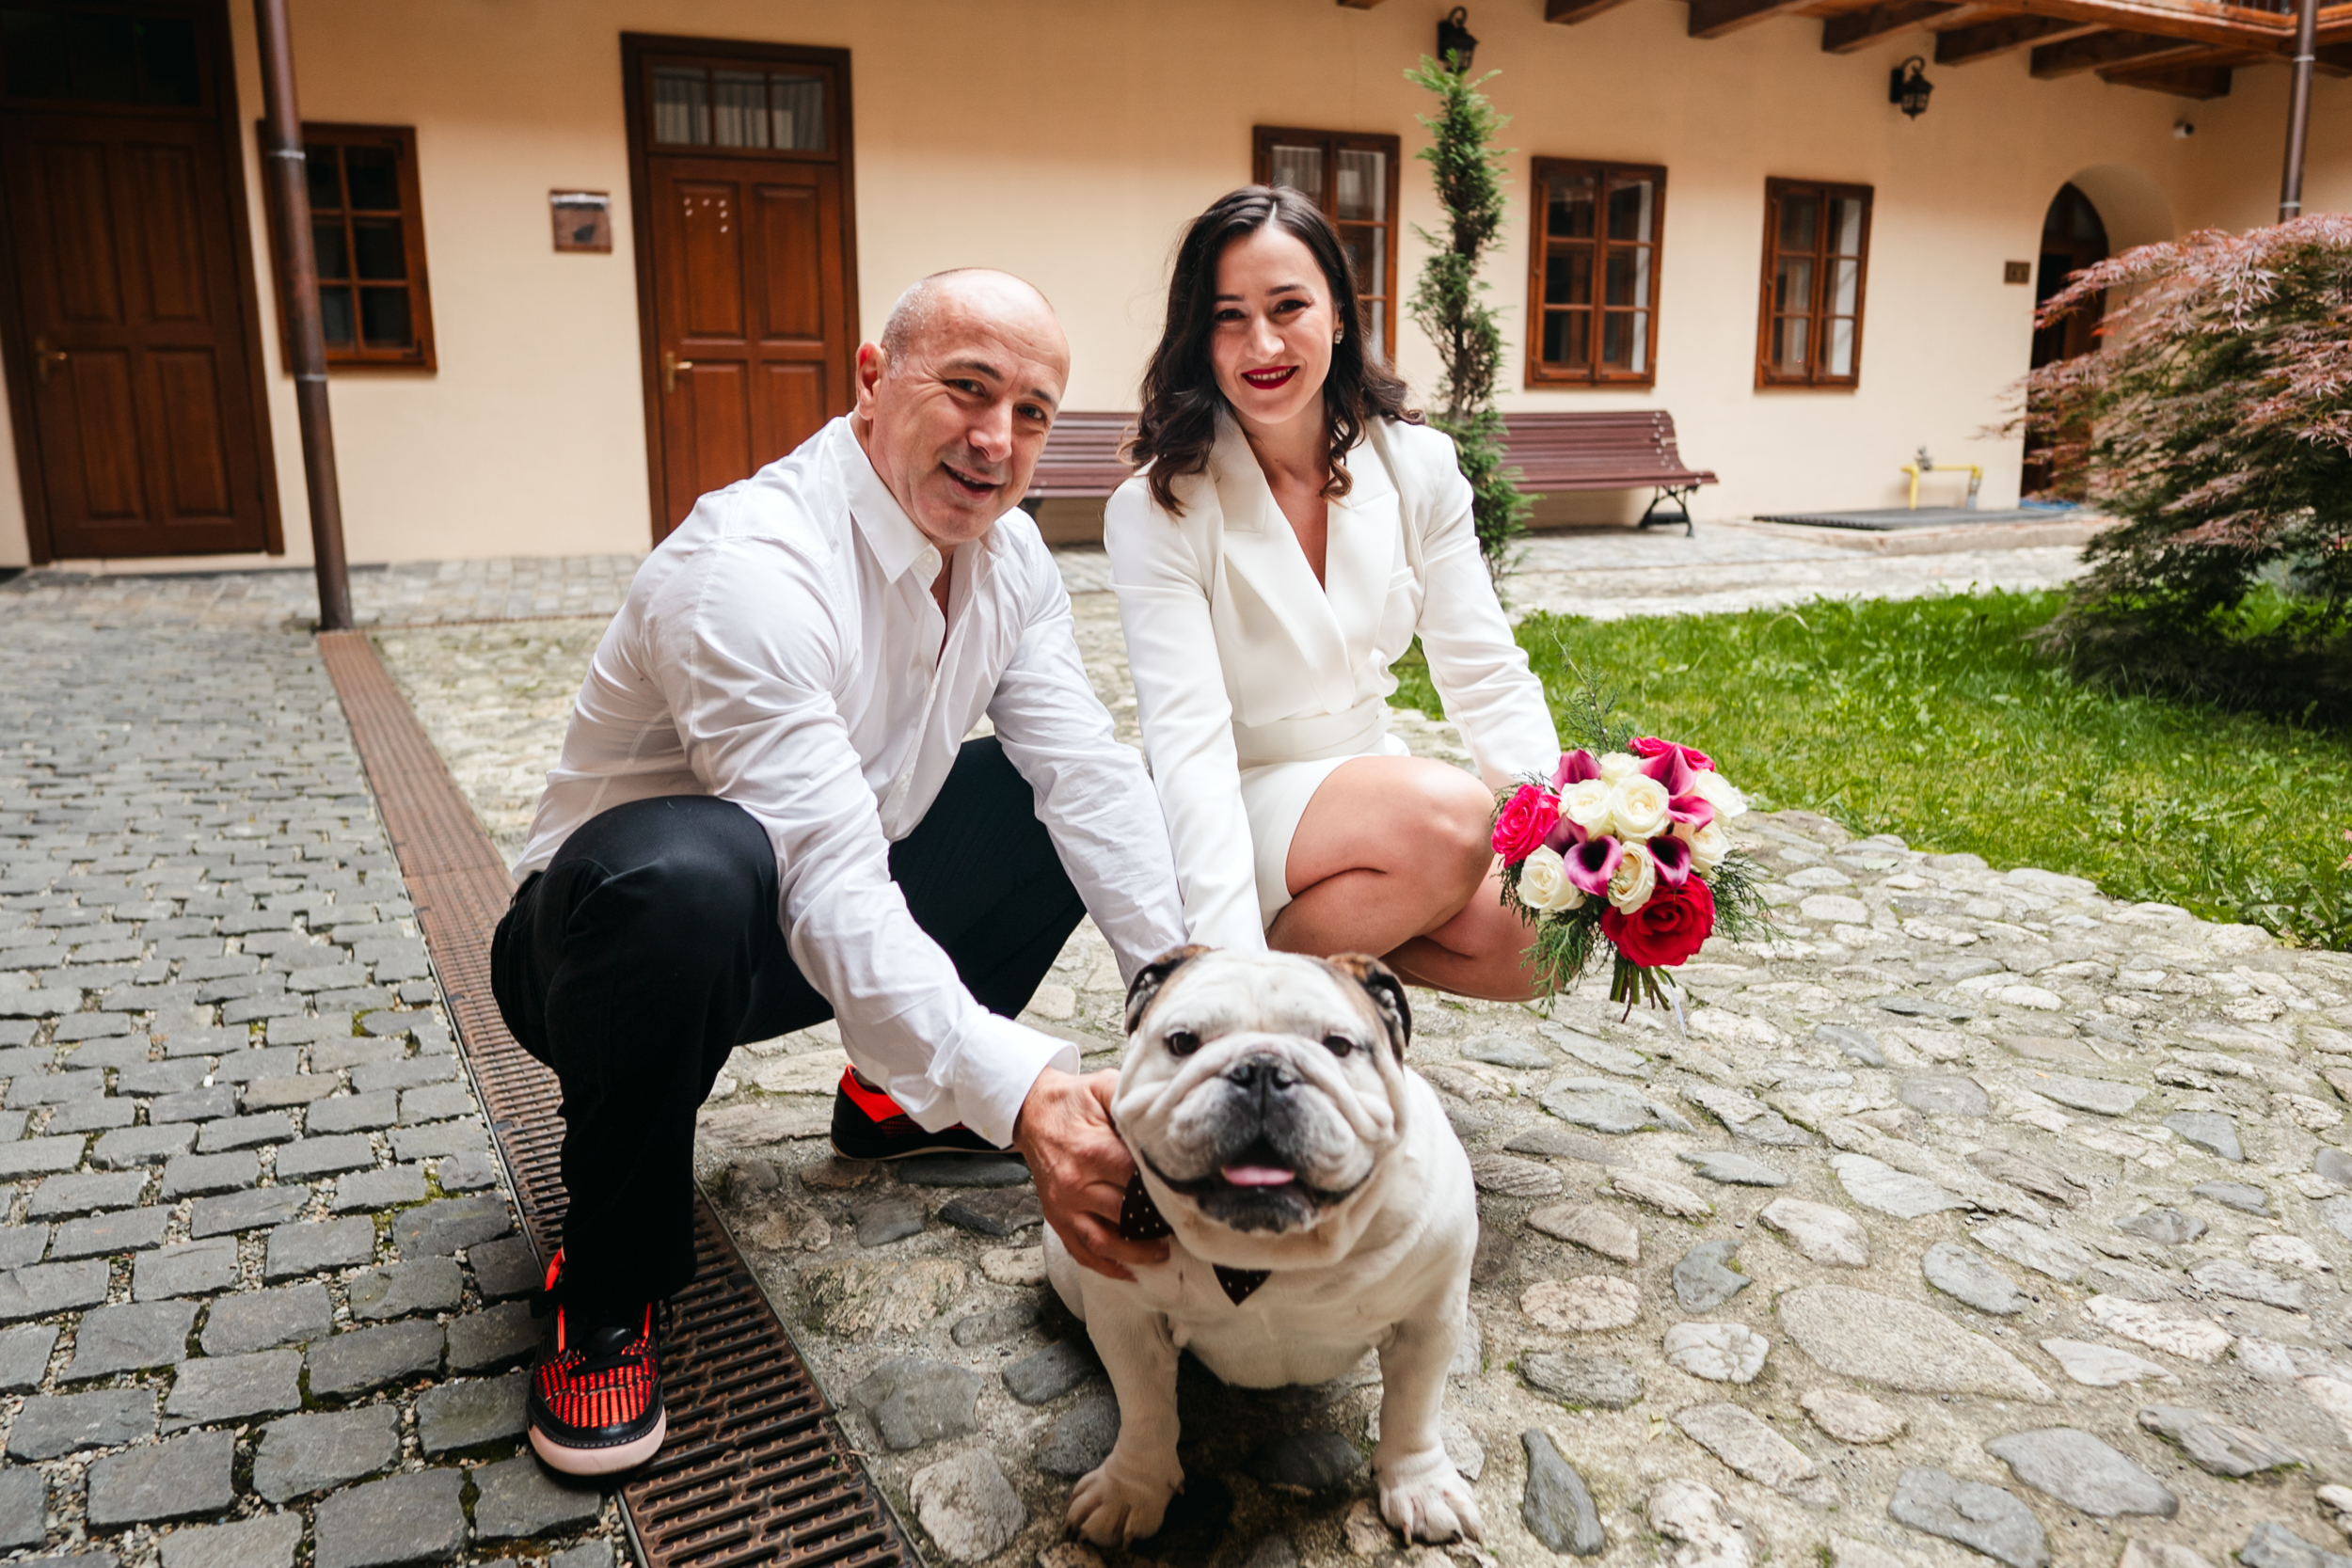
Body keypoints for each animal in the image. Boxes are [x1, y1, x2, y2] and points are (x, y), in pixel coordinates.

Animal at [1046, 946, 1482, 1547]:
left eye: (1338, 1046)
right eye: (1183, 1042)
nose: (1261, 1070)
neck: (1266, 1254)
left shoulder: (1430, 1319)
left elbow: (1414, 1409)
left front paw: (1421, 1486)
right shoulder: (1126, 1317)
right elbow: (1144, 1410)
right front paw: (1130, 1489)